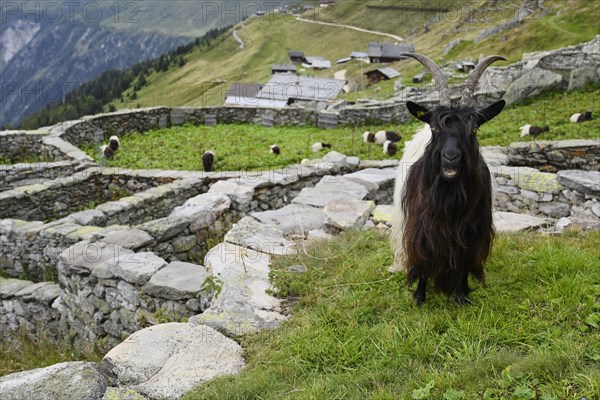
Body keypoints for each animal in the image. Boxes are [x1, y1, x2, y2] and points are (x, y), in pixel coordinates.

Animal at [390, 51, 506, 304]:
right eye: (435, 128)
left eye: (474, 129)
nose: (451, 158)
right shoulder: (420, 226)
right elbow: (423, 258)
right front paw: (419, 296)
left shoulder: (472, 231)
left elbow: (464, 261)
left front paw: (462, 294)